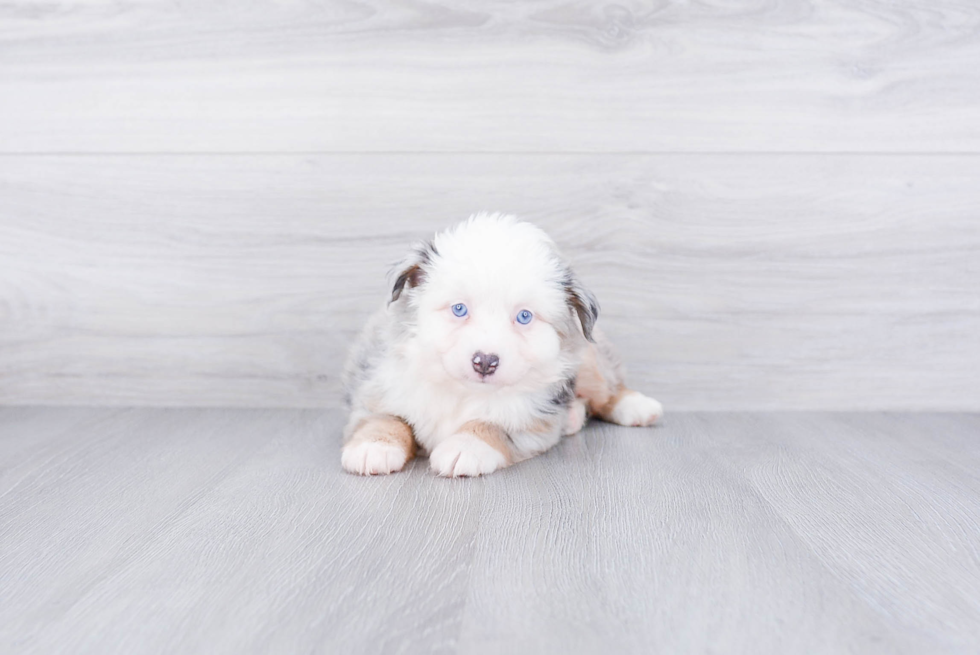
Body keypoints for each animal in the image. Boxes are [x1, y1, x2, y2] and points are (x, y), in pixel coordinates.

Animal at [340, 214, 664, 476]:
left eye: (524, 316)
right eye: (459, 309)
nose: (485, 361)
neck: (462, 390)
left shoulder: (531, 420)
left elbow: (492, 423)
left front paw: (466, 447)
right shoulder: (376, 387)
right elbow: (385, 418)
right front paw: (374, 446)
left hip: (588, 363)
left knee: (608, 389)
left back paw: (637, 407)